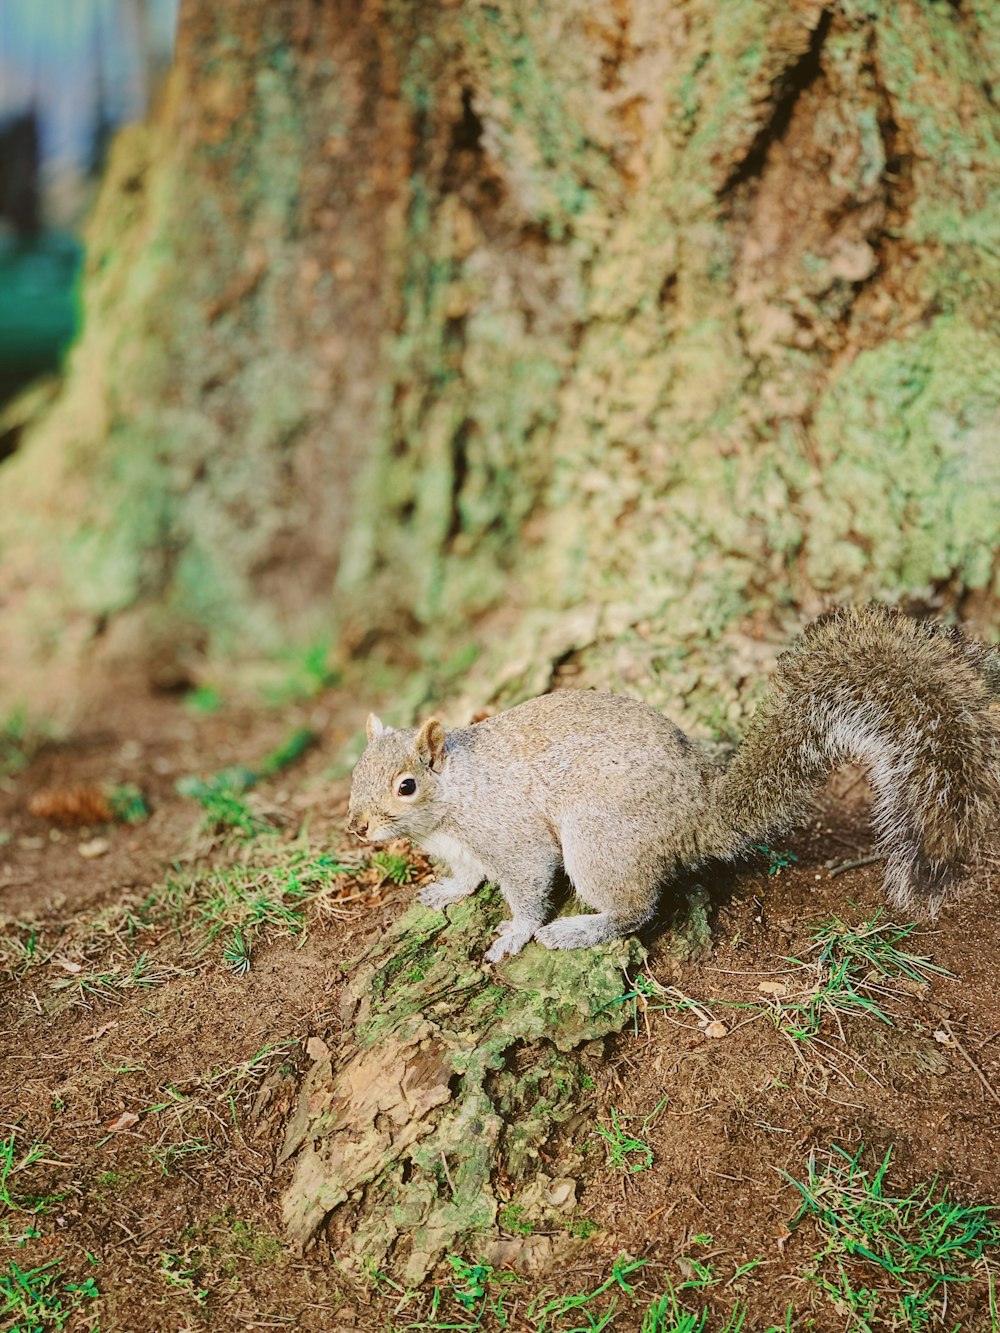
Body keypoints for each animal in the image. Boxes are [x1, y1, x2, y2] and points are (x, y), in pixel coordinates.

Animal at [346, 610, 1000, 965]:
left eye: (406, 785)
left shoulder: (508, 832)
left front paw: (514, 934)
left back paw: (581, 928)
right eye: (355, 772)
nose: (357, 826)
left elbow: (527, 883)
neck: (451, 803)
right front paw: (446, 891)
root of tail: (695, 814)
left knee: (635, 910)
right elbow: (467, 875)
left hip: (600, 841)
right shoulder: (460, 847)